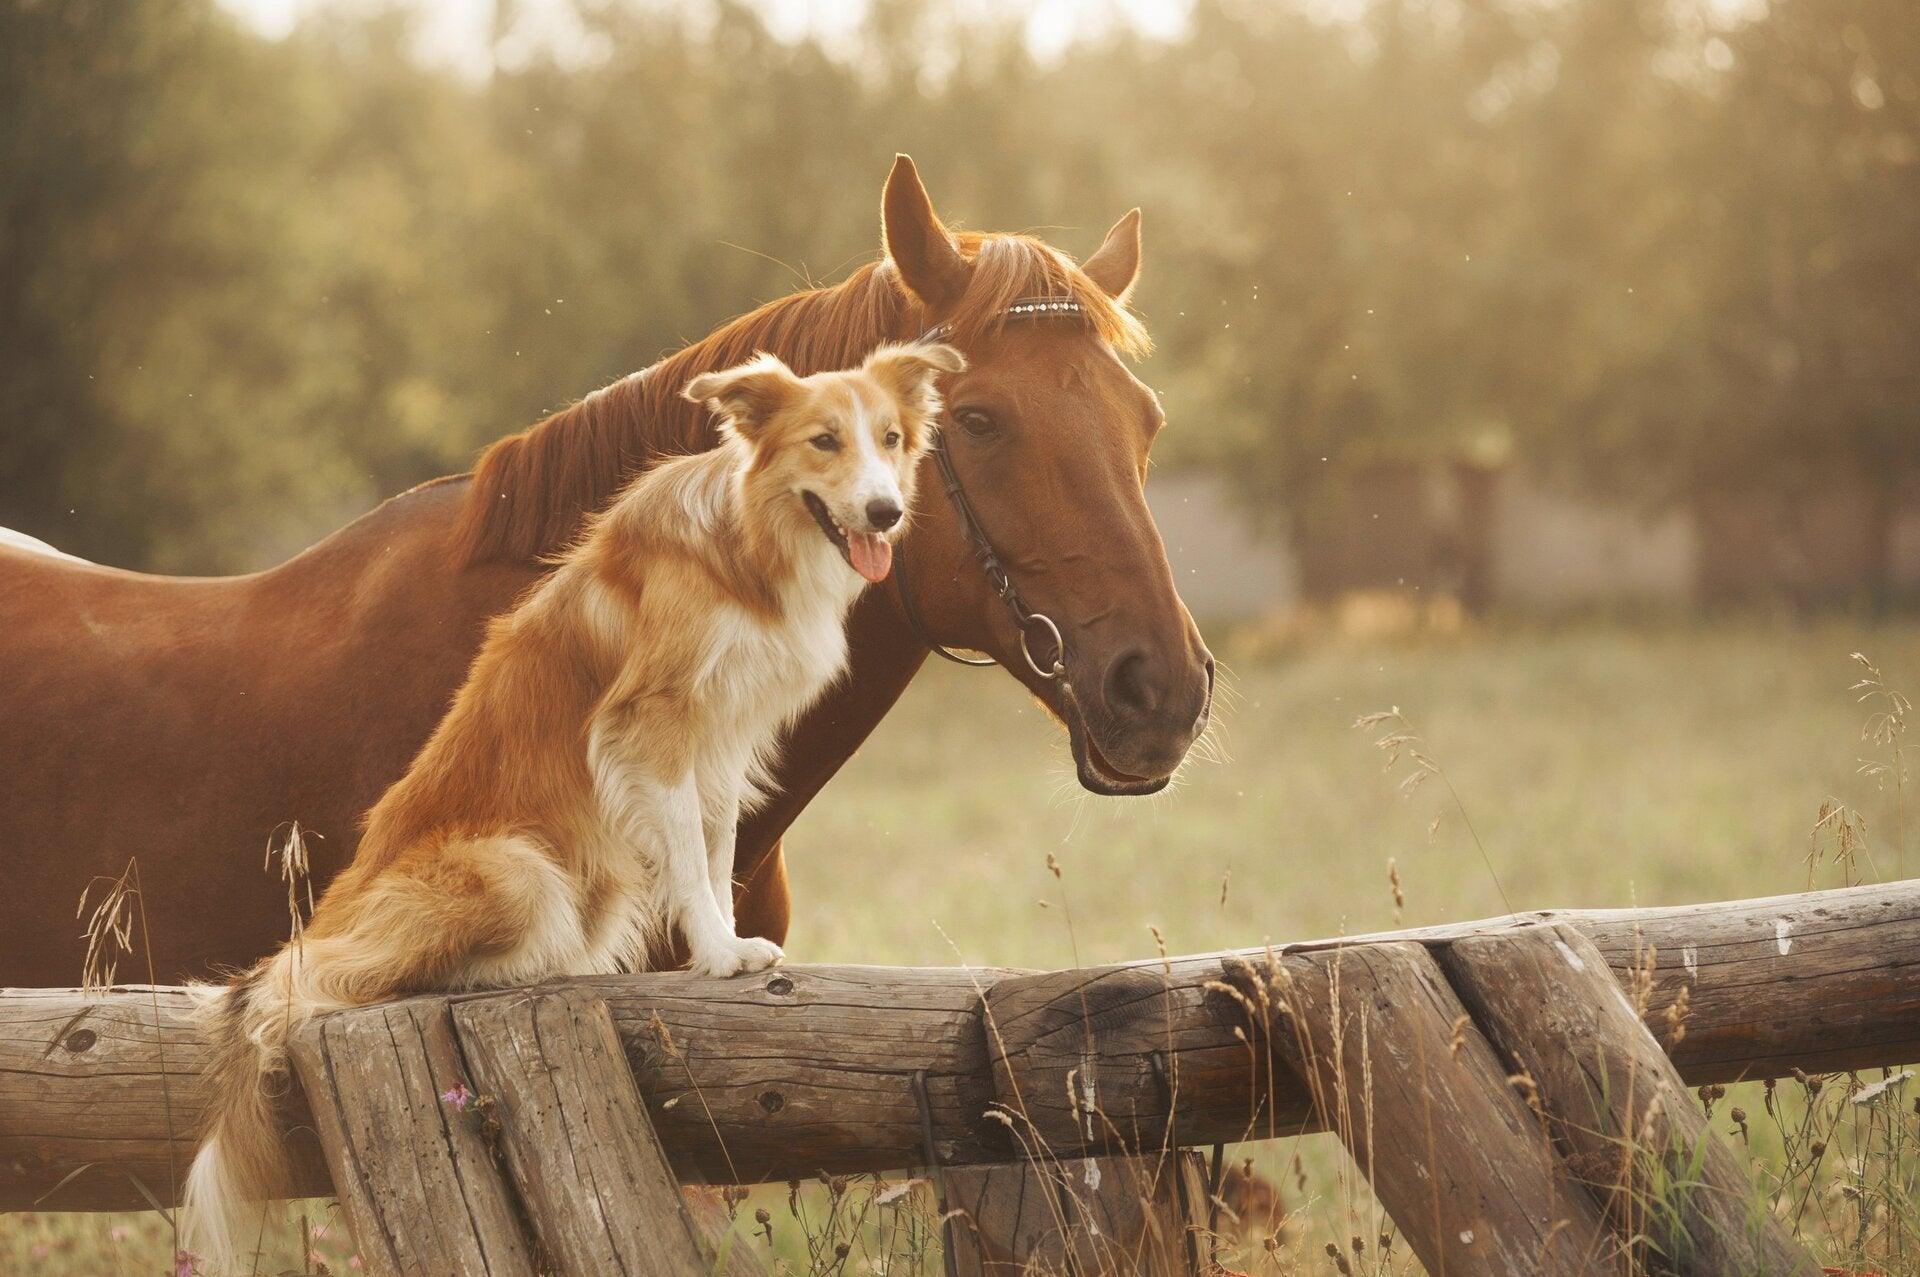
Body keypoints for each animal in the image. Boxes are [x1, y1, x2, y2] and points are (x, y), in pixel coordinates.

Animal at [180, 337, 960, 1267]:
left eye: (890, 437)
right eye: (824, 441)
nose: (885, 511)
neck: (747, 543)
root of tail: (332, 912)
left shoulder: (723, 741)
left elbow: (717, 847)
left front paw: (729, 944)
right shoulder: (653, 724)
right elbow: (690, 856)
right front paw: (717, 954)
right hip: (518, 870)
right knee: (331, 979)